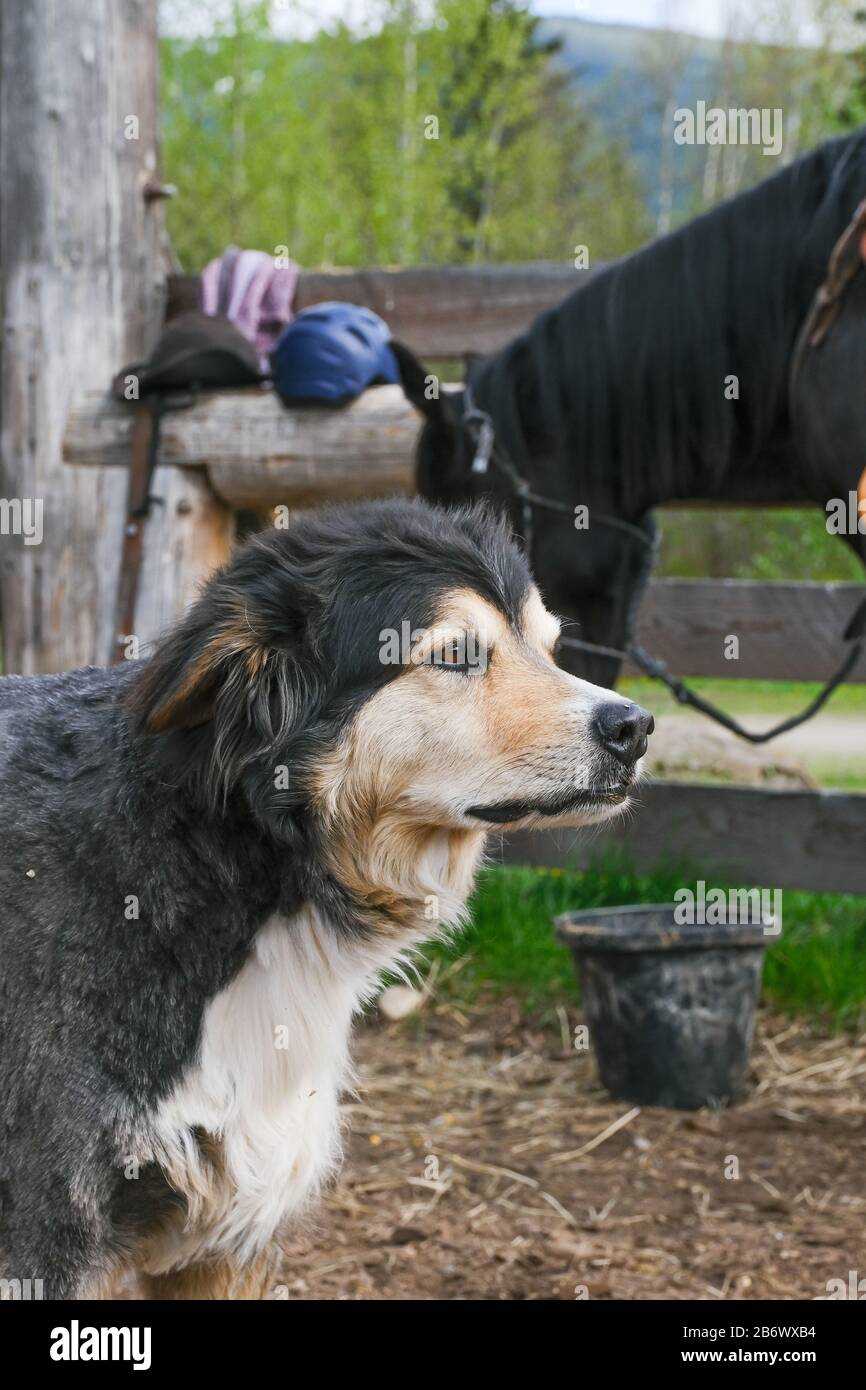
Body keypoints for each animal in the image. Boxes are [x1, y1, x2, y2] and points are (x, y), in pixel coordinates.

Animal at [0, 503, 650, 1301]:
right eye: (457, 655)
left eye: (552, 648)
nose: (635, 727)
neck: (228, 855)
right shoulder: (44, 1241)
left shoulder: (229, 1237)